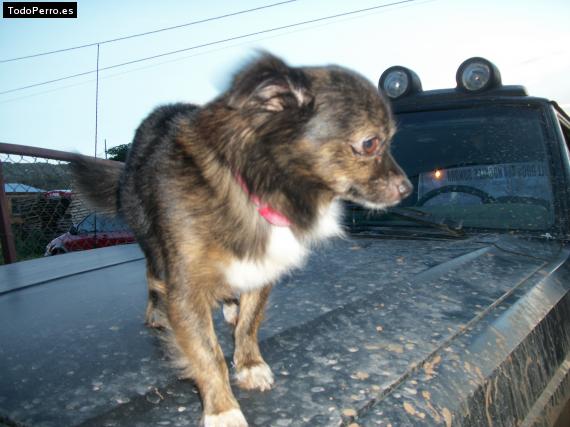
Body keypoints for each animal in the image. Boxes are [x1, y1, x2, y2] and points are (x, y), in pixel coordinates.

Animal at [71, 53, 410, 427]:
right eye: (370, 143)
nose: (407, 189)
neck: (253, 188)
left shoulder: (262, 269)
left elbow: (249, 325)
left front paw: (249, 364)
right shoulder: (186, 289)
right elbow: (208, 354)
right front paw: (223, 409)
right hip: (150, 238)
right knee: (152, 274)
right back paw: (157, 309)